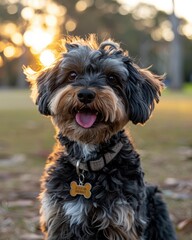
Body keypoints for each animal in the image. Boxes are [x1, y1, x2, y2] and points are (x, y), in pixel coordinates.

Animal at [25, 35, 177, 240]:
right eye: (72, 75)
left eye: (112, 78)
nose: (85, 94)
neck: (88, 161)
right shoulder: (59, 220)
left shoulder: (121, 222)